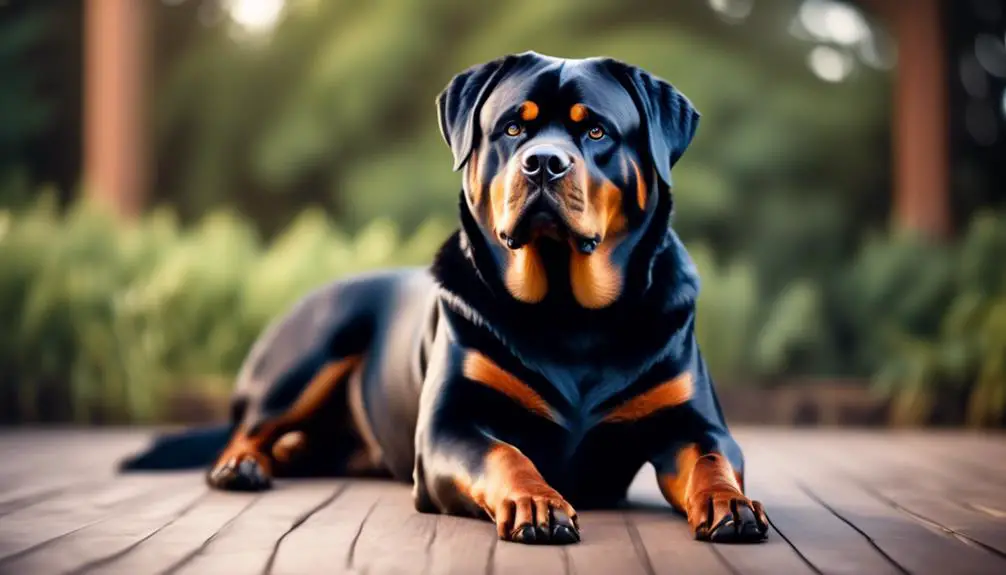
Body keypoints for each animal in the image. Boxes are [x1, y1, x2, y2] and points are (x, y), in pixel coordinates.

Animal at [125, 51, 768, 546]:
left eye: (596, 131)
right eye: (513, 129)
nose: (543, 163)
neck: (568, 313)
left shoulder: (694, 423)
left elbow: (712, 458)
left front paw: (730, 504)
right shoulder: (448, 427)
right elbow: (506, 454)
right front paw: (537, 502)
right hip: (308, 354)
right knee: (251, 426)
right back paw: (241, 465)